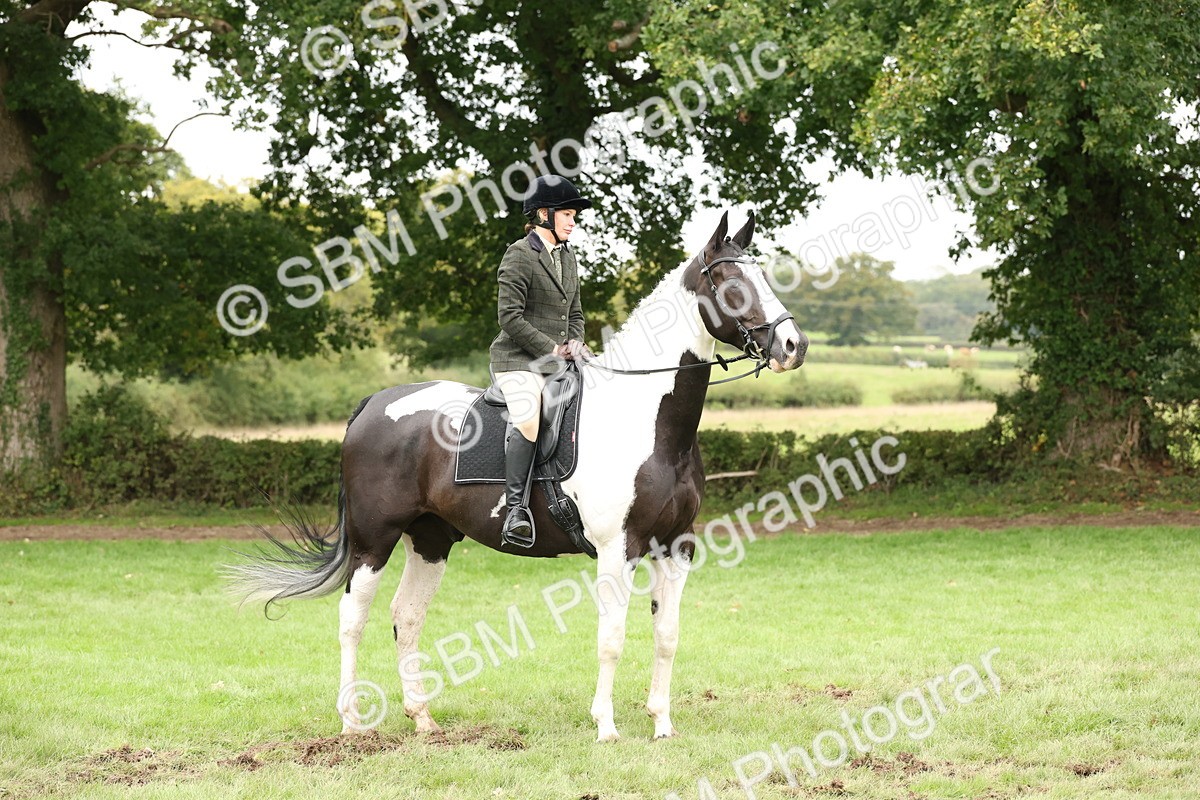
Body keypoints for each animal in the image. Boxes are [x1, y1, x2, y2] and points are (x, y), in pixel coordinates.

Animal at [227, 210, 808, 742]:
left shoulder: (676, 545)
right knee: (354, 616)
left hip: (431, 538)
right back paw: (351, 723)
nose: (794, 347)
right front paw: (606, 728)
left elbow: (667, 634)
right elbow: (612, 638)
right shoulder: (618, 548)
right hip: (375, 538)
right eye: (731, 282)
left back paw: (423, 719)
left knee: (405, 614)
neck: (650, 424)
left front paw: (662, 725)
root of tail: (374, 403)